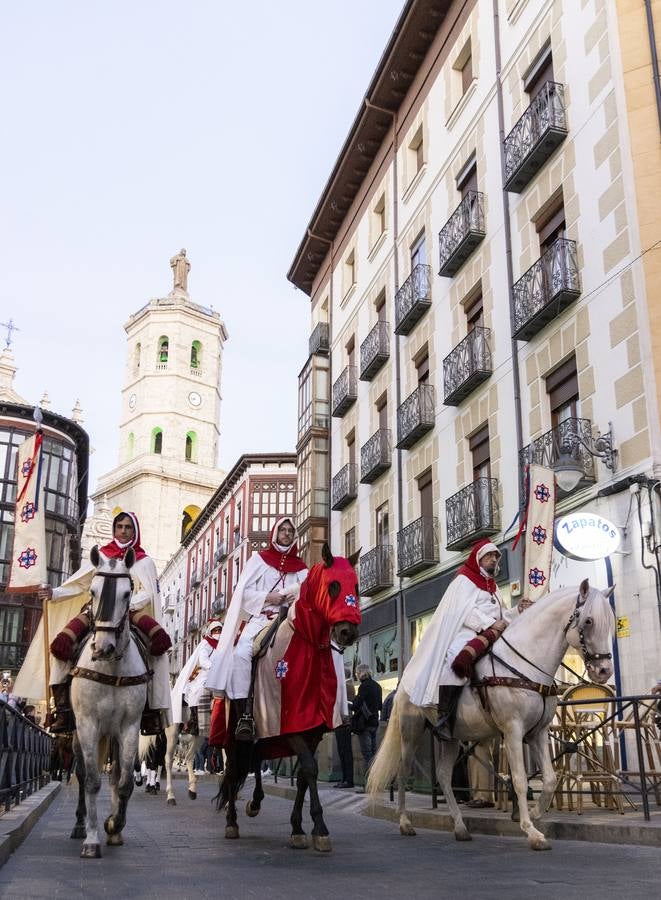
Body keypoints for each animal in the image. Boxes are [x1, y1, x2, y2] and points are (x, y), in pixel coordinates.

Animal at [70, 544, 149, 860]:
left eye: (127, 593)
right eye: (92, 590)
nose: (103, 648)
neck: (112, 669)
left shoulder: (129, 727)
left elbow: (125, 782)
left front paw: (114, 824)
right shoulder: (88, 724)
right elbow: (92, 781)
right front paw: (92, 839)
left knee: (116, 774)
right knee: (81, 773)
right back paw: (80, 825)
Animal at [366, 584, 612, 852]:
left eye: (609, 619)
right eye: (588, 621)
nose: (604, 671)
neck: (524, 664)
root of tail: (404, 681)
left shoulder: (538, 733)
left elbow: (549, 779)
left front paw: (535, 814)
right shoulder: (513, 730)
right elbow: (519, 780)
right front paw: (531, 831)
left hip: (451, 738)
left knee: (443, 775)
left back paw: (460, 827)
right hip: (410, 733)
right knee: (403, 770)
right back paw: (405, 822)